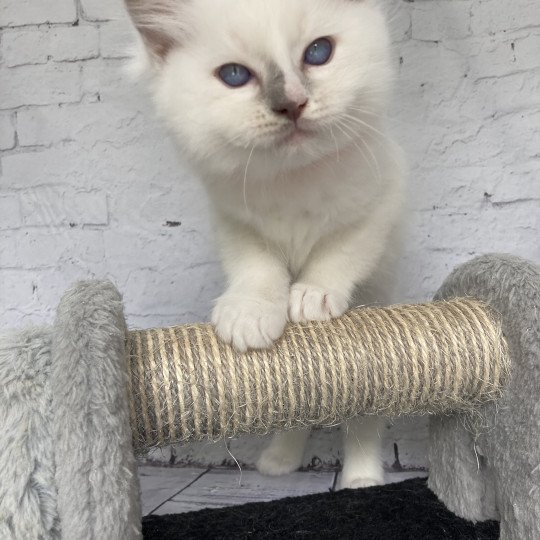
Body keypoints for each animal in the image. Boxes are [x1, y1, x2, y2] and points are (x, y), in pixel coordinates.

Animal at [126, 0, 404, 490]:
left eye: (318, 52)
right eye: (235, 76)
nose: (291, 104)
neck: (293, 179)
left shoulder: (380, 205)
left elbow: (338, 252)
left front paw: (312, 297)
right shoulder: (236, 223)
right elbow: (258, 270)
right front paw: (249, 315)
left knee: (363, 416)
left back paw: (361, 477)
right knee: (298, 406)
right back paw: (279, 460)